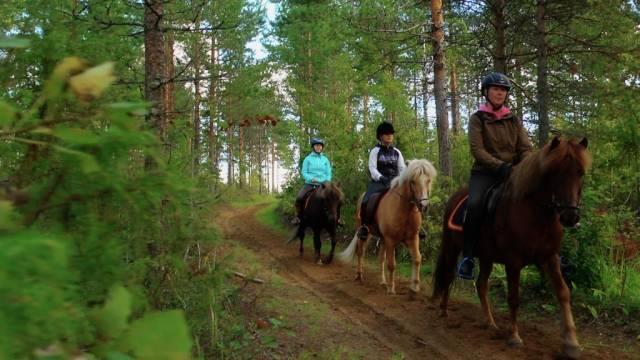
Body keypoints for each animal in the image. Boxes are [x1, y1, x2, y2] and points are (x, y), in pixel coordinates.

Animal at [338, 160, 438, 296]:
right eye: (413, 181)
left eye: (428, 180)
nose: (424, 205)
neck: (405, 211)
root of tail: (362, 197)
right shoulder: (391, 240)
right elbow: (391, 264)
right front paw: (391, 289)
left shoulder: (413, 238)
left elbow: (417, 259)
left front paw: (415, 287)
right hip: (364, 234)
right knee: (360, 252)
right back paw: (359, 276)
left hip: (383, 239)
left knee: (381, 258)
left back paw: (382, 281)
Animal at [432, 136, 592, 358]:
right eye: (554, 172)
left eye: (580, 172)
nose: (570, 216)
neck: (535, 214)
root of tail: (454, 197)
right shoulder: (513, 261)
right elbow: (514, 297)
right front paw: (514, 337)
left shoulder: (550, 257)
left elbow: (563, 293)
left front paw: (571, 343)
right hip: (451, 248)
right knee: (448, 276)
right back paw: (443, 310)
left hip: (487, 256)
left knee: (481, 285)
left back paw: (490, 323)